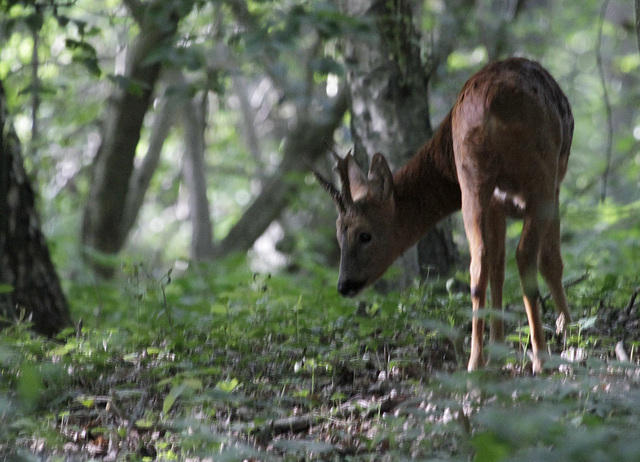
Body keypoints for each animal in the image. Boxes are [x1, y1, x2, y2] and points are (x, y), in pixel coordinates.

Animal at [318, 58, 572, 376]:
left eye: (364, 235)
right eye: (340, 236)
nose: (344, 285)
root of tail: (490, 105)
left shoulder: (495, 204)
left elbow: (498, 267)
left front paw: (499, 347)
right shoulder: (553, 186)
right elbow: (550, 259)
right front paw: (566, 328)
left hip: (473, 179)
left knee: (479, 261)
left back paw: (477, 362)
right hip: (540, 174)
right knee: (525, 254)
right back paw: (540, 357)